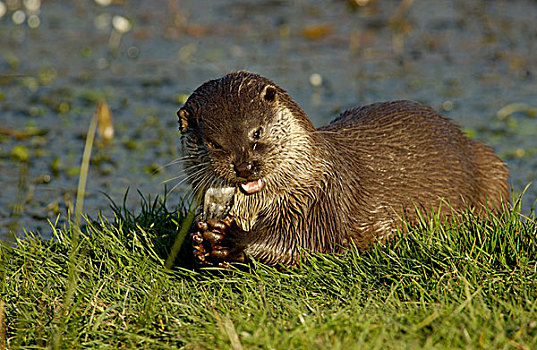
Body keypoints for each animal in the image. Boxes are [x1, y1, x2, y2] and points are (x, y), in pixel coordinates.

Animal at [178, 72, 508, 266]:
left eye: (256, 132)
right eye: (213, 143)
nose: (245, 166)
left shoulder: (320, 201)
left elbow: (297, 243)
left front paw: (230, 239)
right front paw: (199, 242)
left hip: (492, 167)